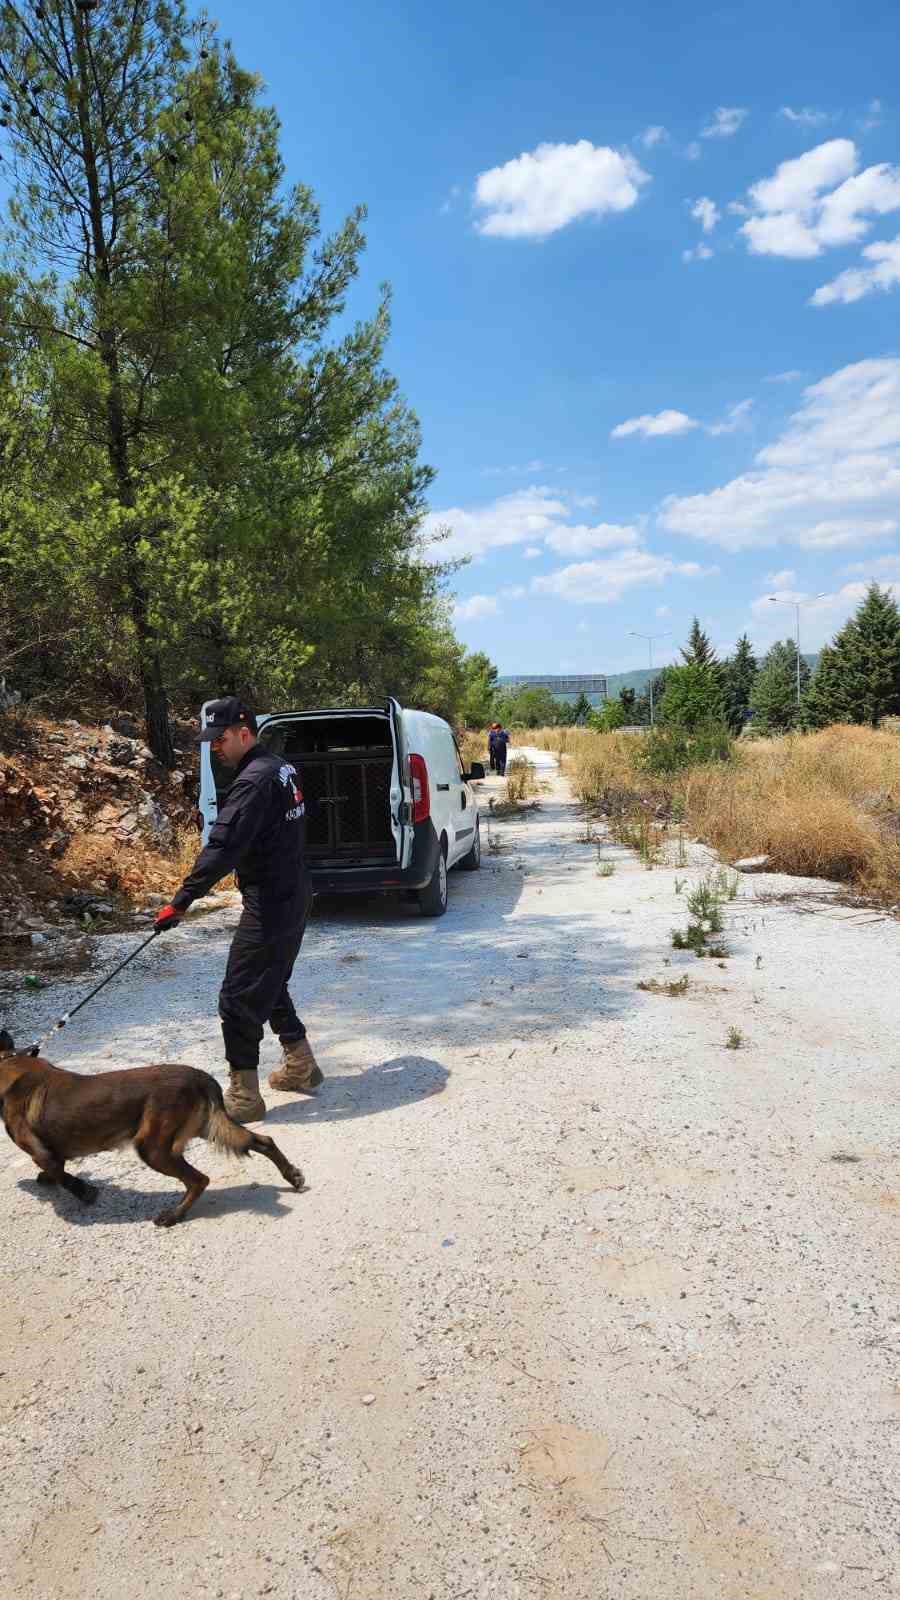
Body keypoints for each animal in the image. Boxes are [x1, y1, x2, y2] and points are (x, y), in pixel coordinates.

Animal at [0, 1030, 302, 1228]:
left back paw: (173, 1216)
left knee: (199, 1180)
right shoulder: (49, 1151)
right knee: (262, 1139)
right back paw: (292, 1176)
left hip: (152, 1147)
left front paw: (85, 1192)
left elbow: (62, 1175)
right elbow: (57, 1168)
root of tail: (200, 1077)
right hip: (206, 1128)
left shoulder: (40, 1151)